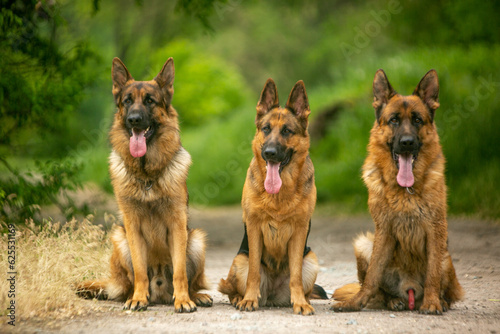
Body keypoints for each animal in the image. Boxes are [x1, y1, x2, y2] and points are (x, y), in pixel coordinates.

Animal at [77, 56, 212, 314]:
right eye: (128, 101)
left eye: (150, 101)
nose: (134, 120)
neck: (147, 175)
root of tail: (160, 292)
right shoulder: (133, 227)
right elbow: (140, 270)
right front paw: (139, 298)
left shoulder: (177, 226)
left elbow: (180, 272)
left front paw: (183, 300)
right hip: (120, 238)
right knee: (129, 283)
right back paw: (136, 295)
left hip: (196, 239)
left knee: (192, 280)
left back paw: (195, 296)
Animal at [219, 78, 328, 316]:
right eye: (266, 129)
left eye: (287, 131)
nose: (269, 153)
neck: (279, 195)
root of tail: (272, 296)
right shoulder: (254, 228)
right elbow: (254, 272)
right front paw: (249, 300)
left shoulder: (299, 231)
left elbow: (295, 275)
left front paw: (300, 303)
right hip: (239, 260)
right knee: (231, 287)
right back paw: (240, 298)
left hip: (311, 259)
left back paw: (301, 300)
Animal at [332, 69, 464, 314]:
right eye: (394, 120)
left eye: (417, 120)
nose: (407, 142)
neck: (406, 191)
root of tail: (409, 290)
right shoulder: (384, 229)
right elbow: (373, 276)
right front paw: (356, 303)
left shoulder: (436, 230)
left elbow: (432, 273)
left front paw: (432, 303)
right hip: (364, 244)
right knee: (378, 289)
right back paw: (391, 300)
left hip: (446, 256)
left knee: (446, 291)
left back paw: (437, 301)